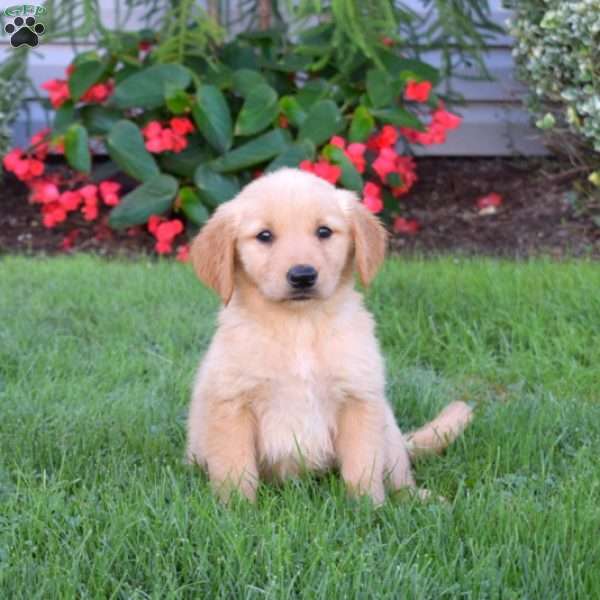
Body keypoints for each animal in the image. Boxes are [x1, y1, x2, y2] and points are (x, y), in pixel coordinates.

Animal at [185, 168, 472, 502]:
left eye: (324, 231)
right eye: (264, 236)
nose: (302, 276)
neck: (299, 325)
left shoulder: (359, 398)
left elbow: (362, 466)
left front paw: (368, 507)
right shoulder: (231, 404)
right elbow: (236, 468)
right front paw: (236, 508)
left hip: (387, 425)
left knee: (399, 473)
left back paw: (417, 499)